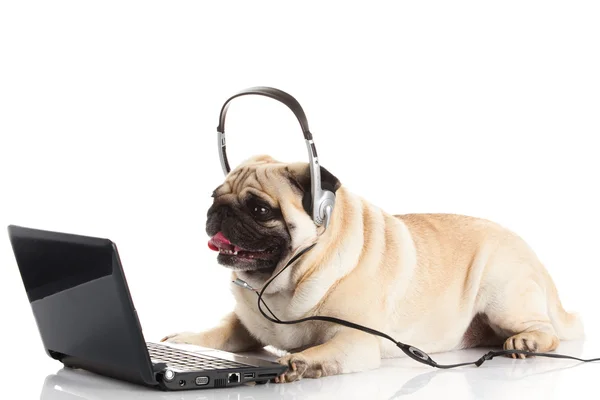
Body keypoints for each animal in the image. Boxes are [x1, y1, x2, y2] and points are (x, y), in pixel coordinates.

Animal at [162, 154, 584, 382]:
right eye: (214, 198)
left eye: (259, 209)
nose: (219, 212)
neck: (282, 286)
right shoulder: (244, 322)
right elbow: (218, 332)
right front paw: (184, 339)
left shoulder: (354, 340)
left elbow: (321, 350)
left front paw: (299, 362)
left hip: (503, 294)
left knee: (546, 331)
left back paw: (526, 343)